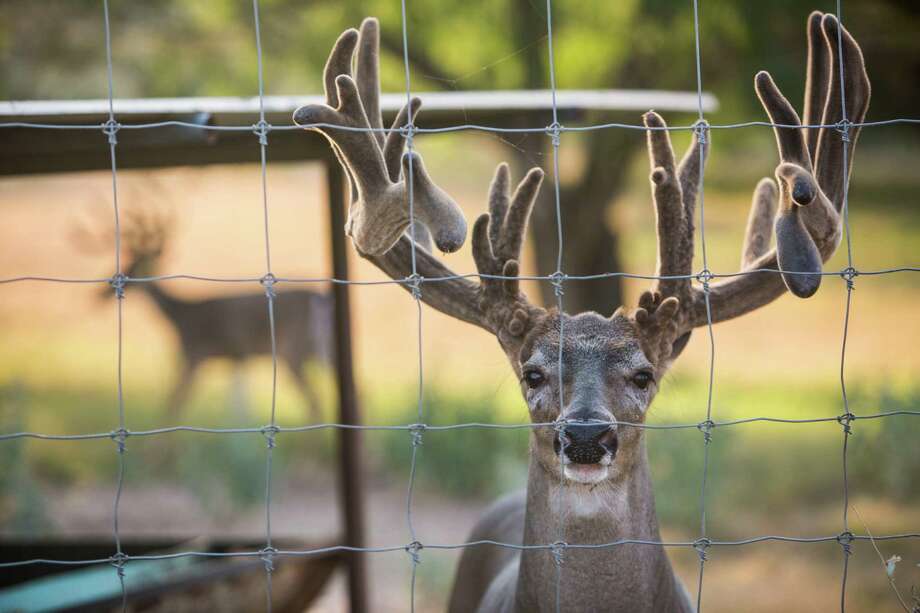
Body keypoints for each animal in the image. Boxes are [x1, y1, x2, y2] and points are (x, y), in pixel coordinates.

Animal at [81, 207, 334, 422]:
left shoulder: (193, 355)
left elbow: (172, 409)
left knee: (314, 404)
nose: (100, 293)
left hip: (294, 349)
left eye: (133, 267)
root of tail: (322, 299)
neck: (179, 316)